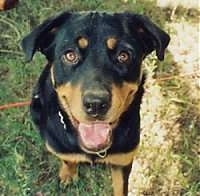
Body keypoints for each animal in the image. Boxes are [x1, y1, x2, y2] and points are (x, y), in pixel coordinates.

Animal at [21, 11, 169, 195]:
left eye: (124, 56)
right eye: (70, 55)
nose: (96, 104)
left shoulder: (123, 160)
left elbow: (120, 188)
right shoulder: (58, 146)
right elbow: (67, 159)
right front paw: (68, 174)